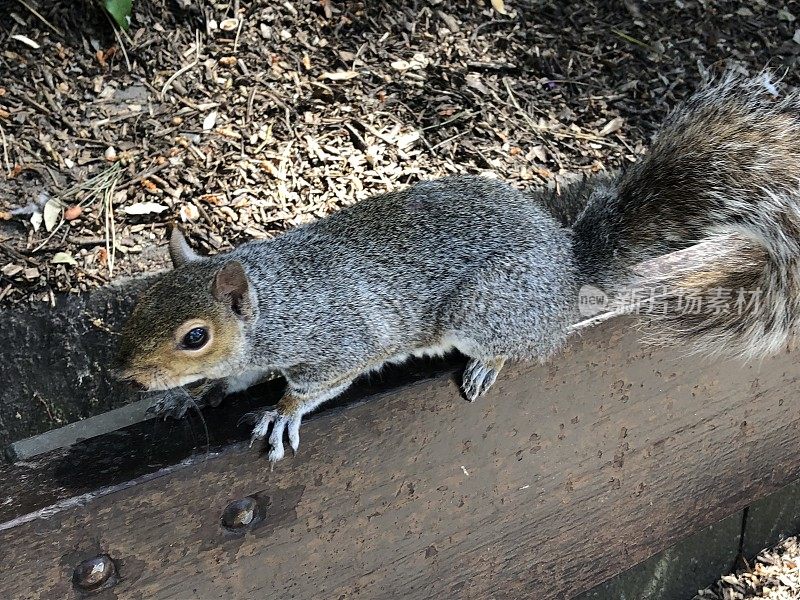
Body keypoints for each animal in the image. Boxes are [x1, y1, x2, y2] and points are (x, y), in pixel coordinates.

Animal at [115, 72, 800, 462]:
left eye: (194, 337)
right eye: (140, 302)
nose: (129, 375)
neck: (272, 304)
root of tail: (567, 267)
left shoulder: (339, 340)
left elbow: (319, 382)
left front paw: (283, 411)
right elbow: (229, 381)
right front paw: (183, 399)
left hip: (484, 308)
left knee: (524, 348)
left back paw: (486, 366)